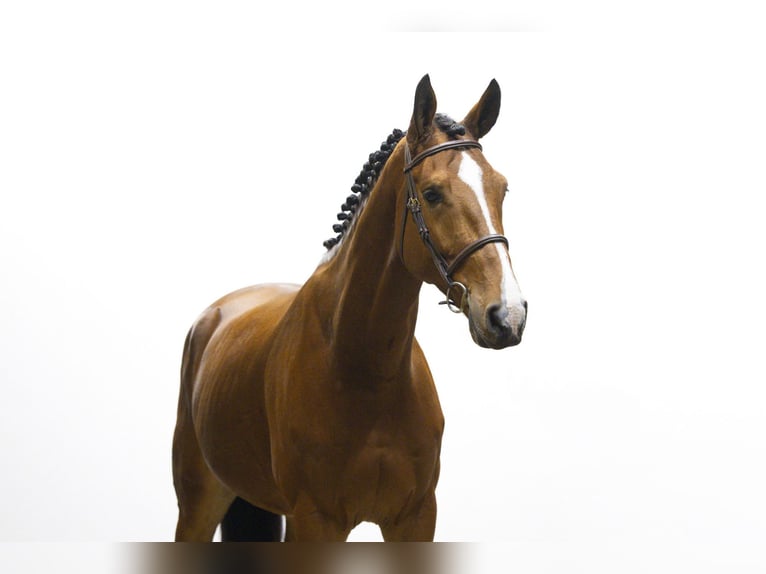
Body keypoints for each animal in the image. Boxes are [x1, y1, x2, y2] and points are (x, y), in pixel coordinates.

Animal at [172, 75, 527, 542]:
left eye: (501, 188)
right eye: (432, 194)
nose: (507, 315)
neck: (363, 369)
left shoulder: (415, 518)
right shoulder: (315, 521)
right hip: (198, 501)